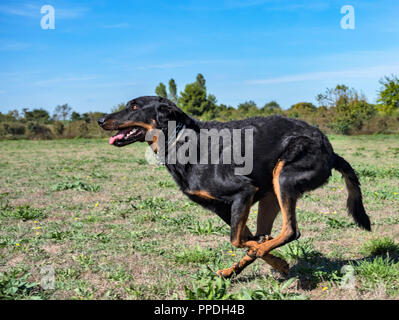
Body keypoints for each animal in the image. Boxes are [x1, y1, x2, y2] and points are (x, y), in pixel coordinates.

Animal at [97, 95, 372, 278]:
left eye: (134, 107)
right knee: (269, 234)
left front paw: (264, 254)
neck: (181, 139)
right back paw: (238, 268)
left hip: (283, 177)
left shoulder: (243, 192)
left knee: (290, 231)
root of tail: (331, 152)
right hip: (271, 193)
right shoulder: (222, 208)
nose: (100, 119)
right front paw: (276, 261)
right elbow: (244, 238)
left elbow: (237, 240)